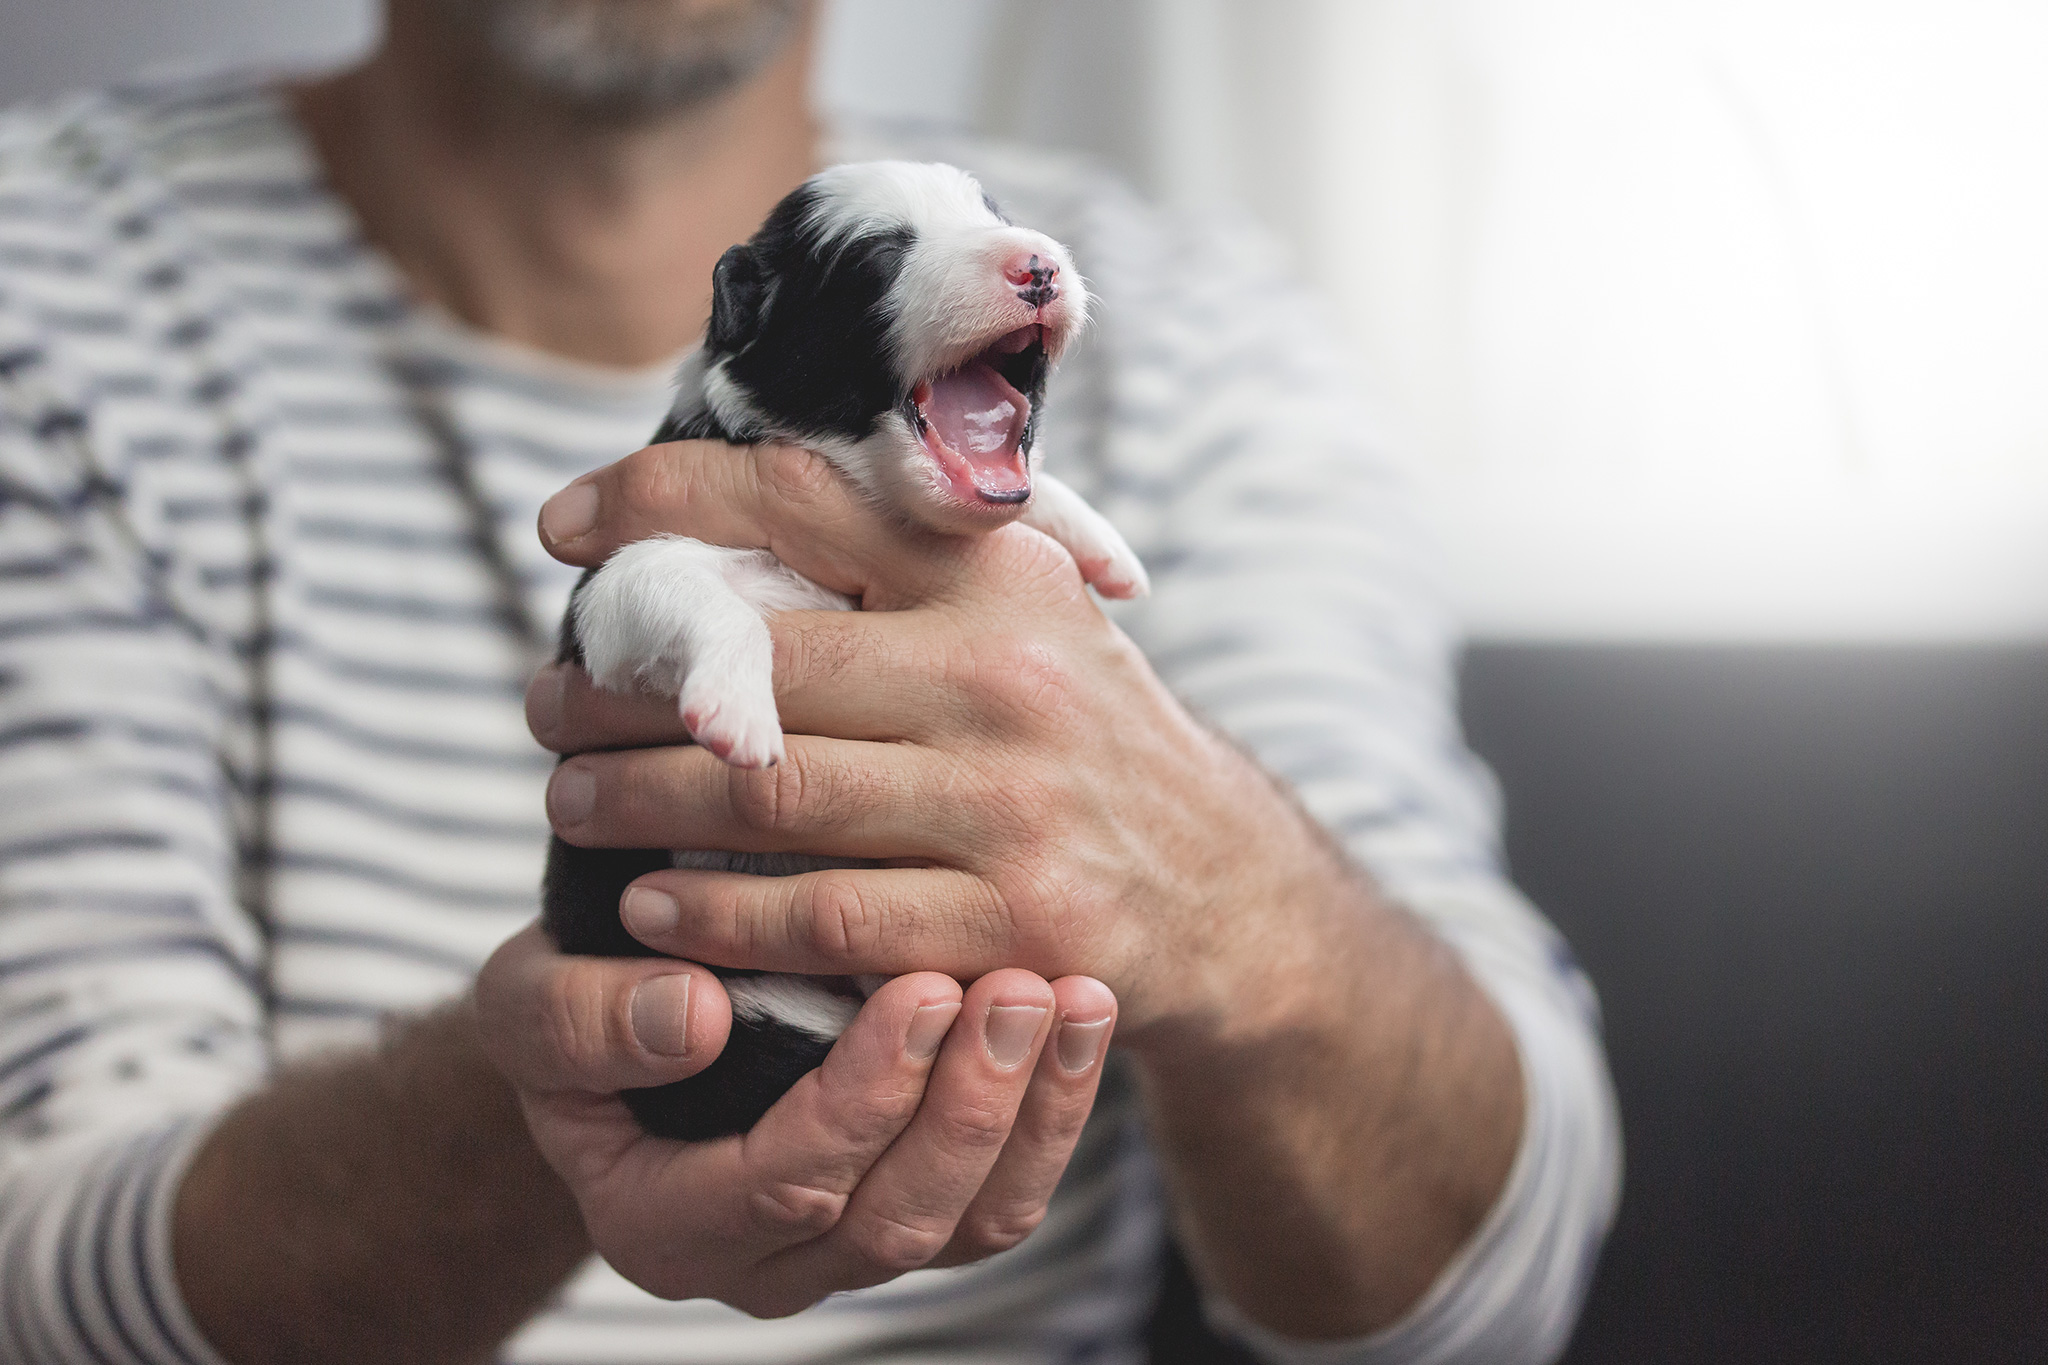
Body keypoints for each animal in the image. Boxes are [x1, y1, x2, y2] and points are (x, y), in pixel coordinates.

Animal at [540, 160, 1155, 1146]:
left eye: (998, 216)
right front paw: (738, 715)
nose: (1037, 264)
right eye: (876, 258)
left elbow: (1044, 487)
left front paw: (1105, 546)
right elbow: (694, 598)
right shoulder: (613, 588)